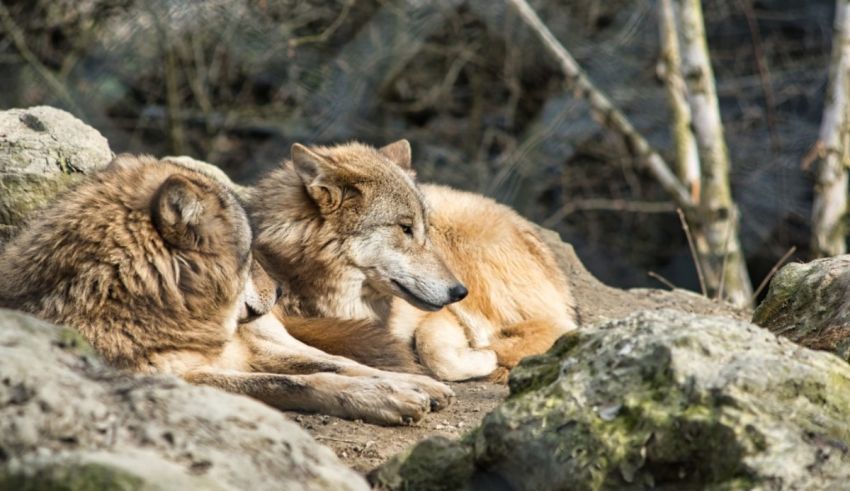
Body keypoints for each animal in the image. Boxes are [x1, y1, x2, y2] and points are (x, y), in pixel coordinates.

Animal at [0, 154, 452, 424]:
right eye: (250, 253)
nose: (281, 290)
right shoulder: (185, 378)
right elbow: (295, 383)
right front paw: (385, 398)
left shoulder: (246, 351)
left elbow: (331, 368)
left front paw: (401, 388)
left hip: (267, 337)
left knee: (335, 357)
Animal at [250, 140, 578, 382]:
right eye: (405, 228)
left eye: (425, 229)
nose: (459, 292)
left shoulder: (439, 316)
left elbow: (439, 356)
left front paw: (484, 357)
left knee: (555, 327)